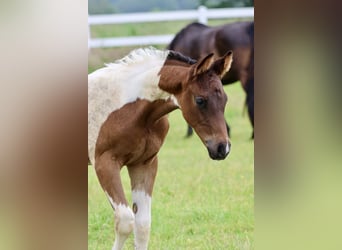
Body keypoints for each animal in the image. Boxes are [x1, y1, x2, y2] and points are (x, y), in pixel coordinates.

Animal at [87, 47, 232, 249]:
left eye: (225, 99)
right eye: (200, 100)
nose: (222, 148)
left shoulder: (144, 164)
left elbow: (142, 225)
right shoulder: (105, 163)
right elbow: (125, 221)